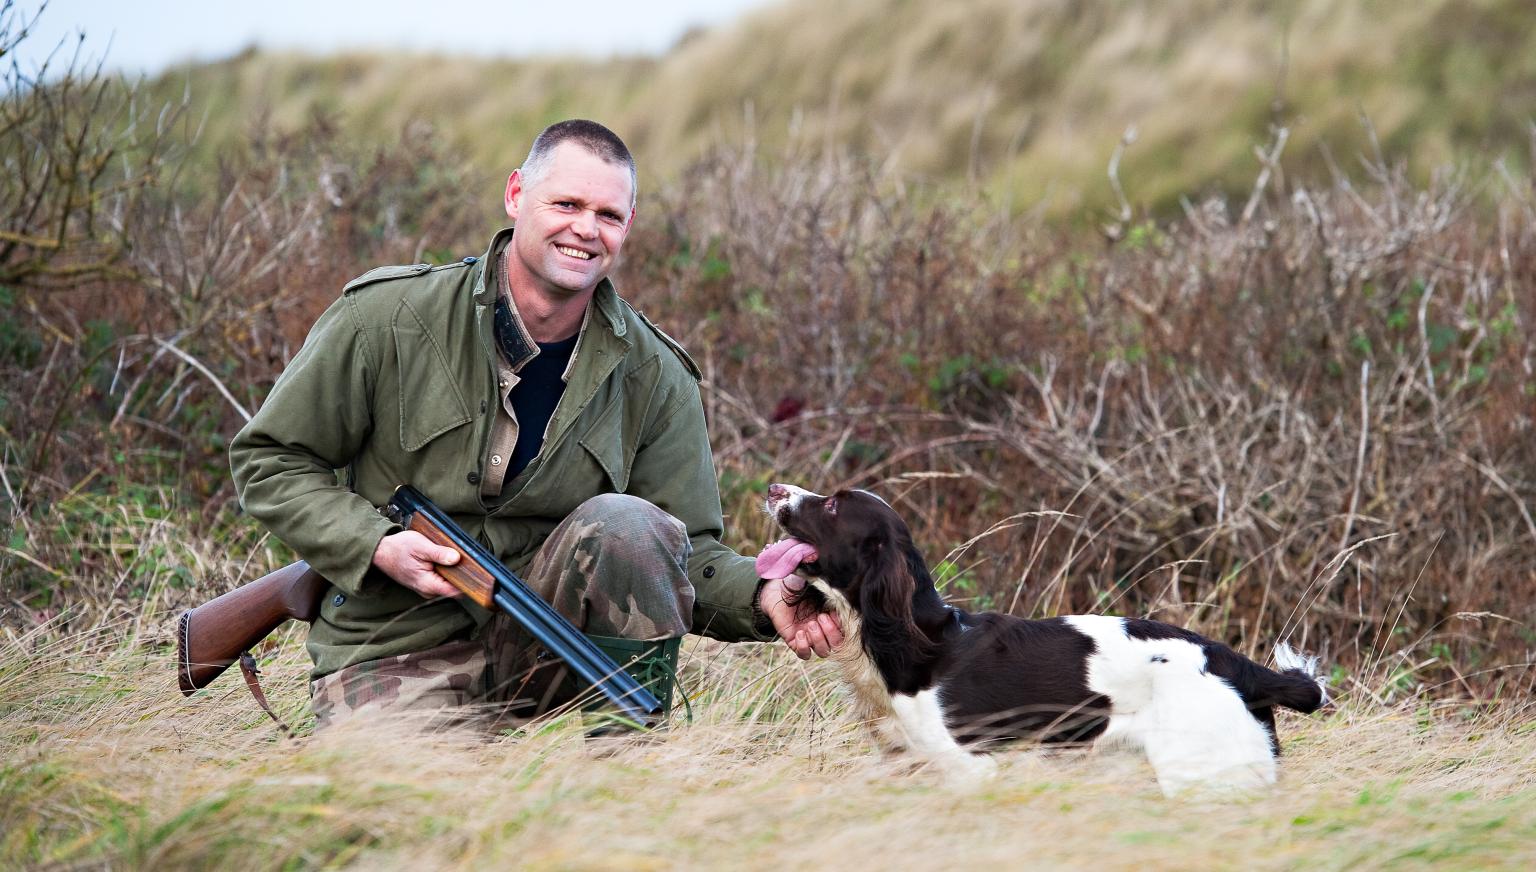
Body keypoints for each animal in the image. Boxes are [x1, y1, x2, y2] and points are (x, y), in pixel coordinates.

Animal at [761, 485, 1327, 798]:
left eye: (834, 506)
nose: (773, 488)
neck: (917, 641)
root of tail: (1241, 667)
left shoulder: (972, 768)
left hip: (1202, 773)